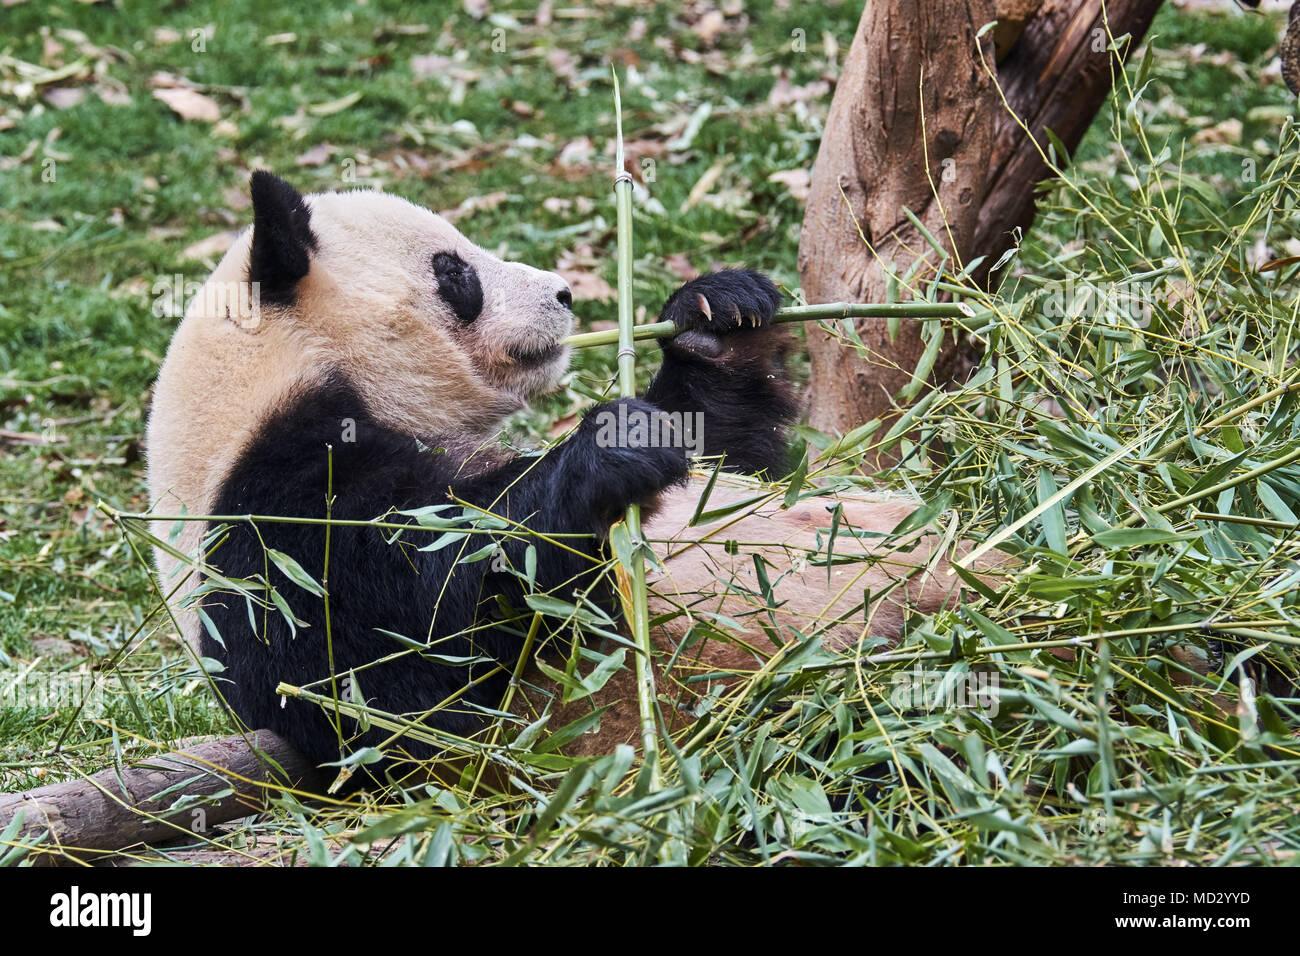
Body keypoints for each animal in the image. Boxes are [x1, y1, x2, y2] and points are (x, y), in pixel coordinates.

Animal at [149, 174, 982, 780]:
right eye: (454, 270)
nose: (564, 293)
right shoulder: (266, 526)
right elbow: (406, 653)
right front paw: (606, 455)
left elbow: (723, 458)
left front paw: (717, 315)